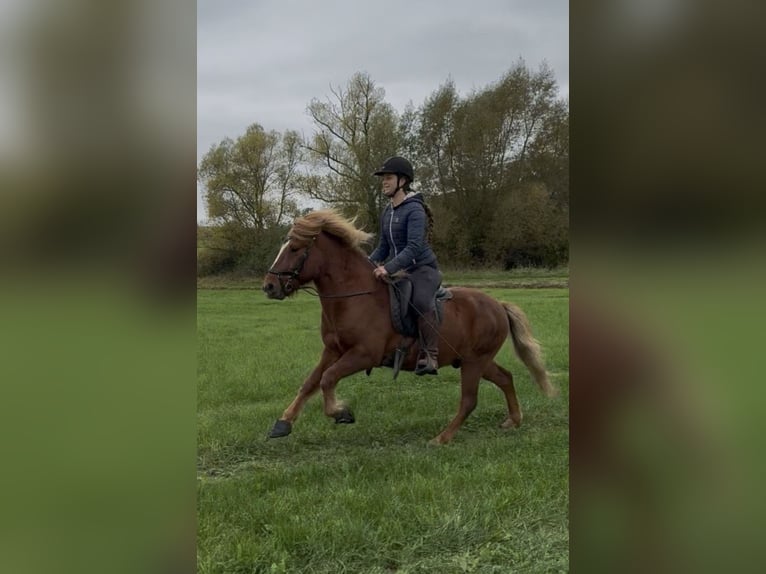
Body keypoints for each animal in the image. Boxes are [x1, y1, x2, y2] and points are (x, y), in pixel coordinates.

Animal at [262, 209, 557, 445]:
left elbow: (328, 378)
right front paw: (283, 423)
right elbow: (310, 382)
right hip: (474, 360)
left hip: (475, 362)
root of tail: (498, 305)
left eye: (295, 249)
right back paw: (513, 420)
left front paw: (341, 413)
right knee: (505, 378)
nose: (269, 286)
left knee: (469, 400)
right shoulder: (333, 351)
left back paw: (442, 438)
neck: (355, 296)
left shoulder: (363, 355)